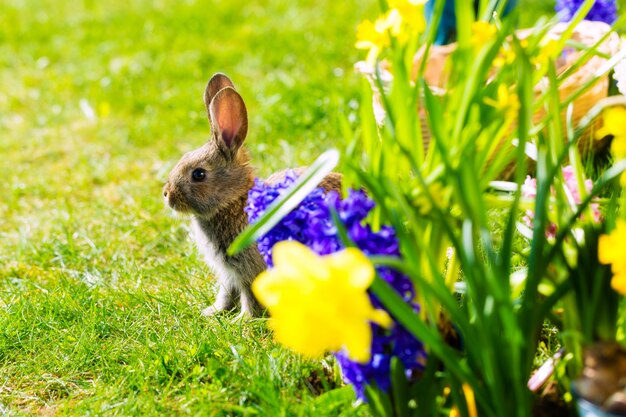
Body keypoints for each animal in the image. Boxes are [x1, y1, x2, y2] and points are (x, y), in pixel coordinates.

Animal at [161, 73, 336, 316]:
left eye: (198, 174)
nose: (167, 194)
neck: (233, 201)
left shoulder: (252, 269)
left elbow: (250, 297)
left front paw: (242, 320)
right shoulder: (228, 273)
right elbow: (227, 293)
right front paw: (212, 312)